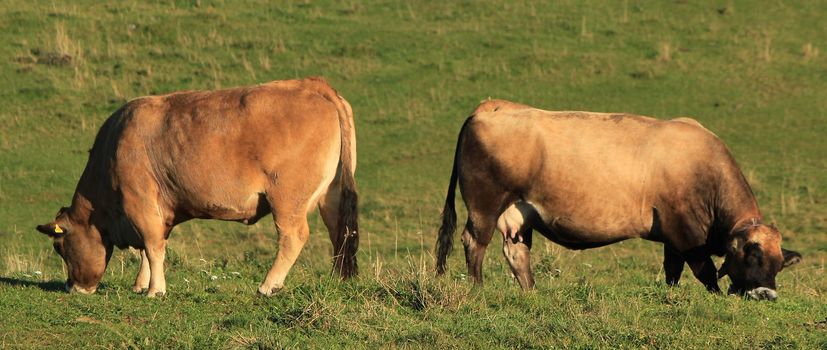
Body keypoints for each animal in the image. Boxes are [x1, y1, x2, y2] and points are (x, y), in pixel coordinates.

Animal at [36, 78, 360, 296]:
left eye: (59, 246)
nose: (73, 287)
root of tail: (311, 85)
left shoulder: (139, 201)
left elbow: (152, 246)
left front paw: (155, 290)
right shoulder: (157, 211)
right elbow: (149, 248)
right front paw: (141, 285)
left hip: (287, 198)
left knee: (294, 237)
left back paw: (268, 285)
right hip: (330, 194)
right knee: (339, 232)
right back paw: (336, 280)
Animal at [436, 99, 804, 300]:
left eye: (779, 264)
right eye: (751, 255)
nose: (766, 295)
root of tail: (490, 107)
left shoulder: (672, 237)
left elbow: (672, 272)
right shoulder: (686, 232)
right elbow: (706, 273)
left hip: (518, 212)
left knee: (516, 251)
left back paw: (531, 293)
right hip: (484, 203)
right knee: (474, 241)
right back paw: (477, 290)